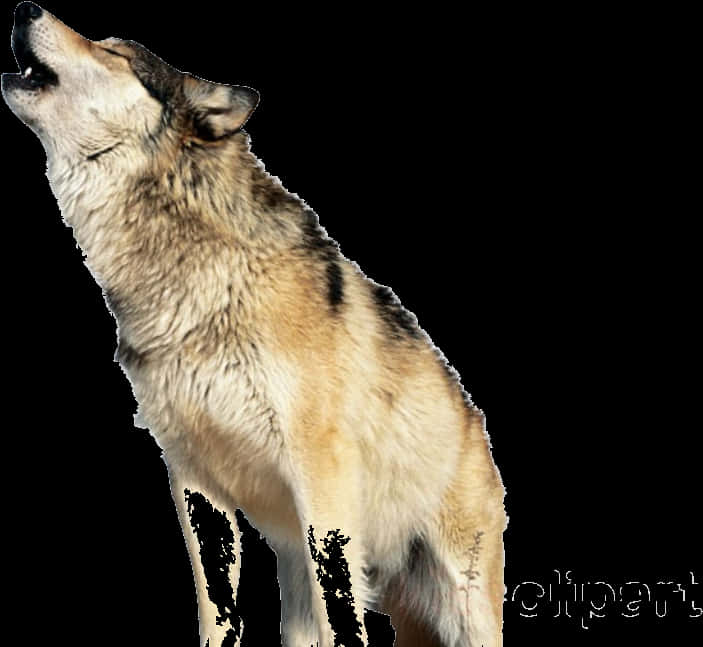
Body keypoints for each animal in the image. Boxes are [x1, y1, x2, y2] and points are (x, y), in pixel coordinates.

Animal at [2, 3, 506, 646]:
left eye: (114, 51)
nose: (25, 9)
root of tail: (475, 422)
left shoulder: (320, 473)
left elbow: (343, 610)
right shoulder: (194, 480)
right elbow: (216, 608)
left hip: (464, 601)